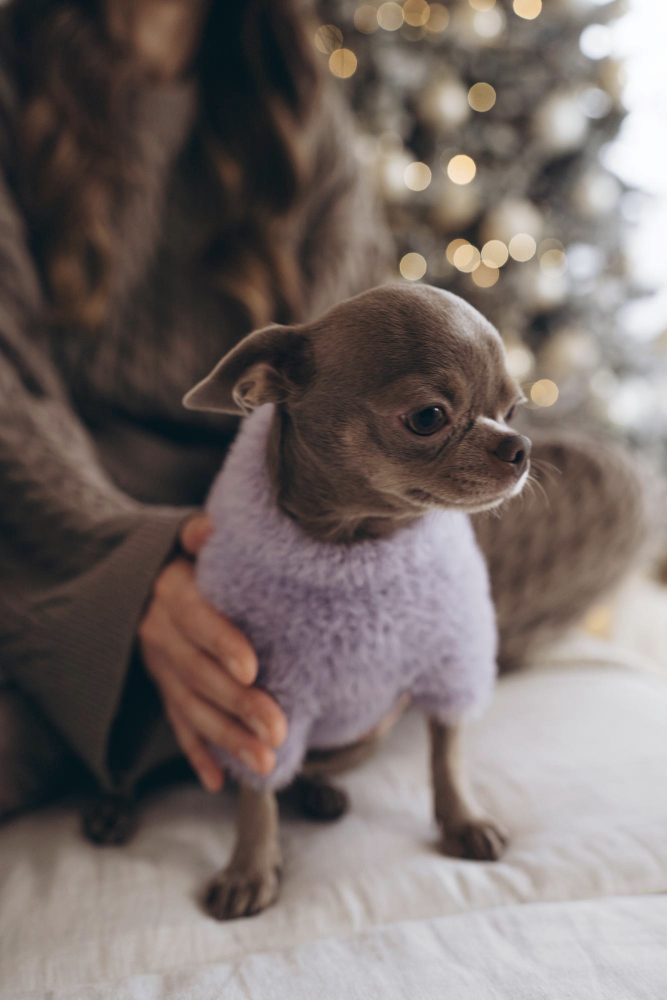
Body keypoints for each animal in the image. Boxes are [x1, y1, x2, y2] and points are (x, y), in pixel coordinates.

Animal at [185, 284, 528, 920]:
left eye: (513, 411)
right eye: (428, 418)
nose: (520, 446)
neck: (357, 543)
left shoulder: (451, 667)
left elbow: (448, 755)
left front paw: (463, 820)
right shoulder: (265, 704)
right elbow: (256, 792)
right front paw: (249, 867)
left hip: (365, 736)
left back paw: (320, 793)